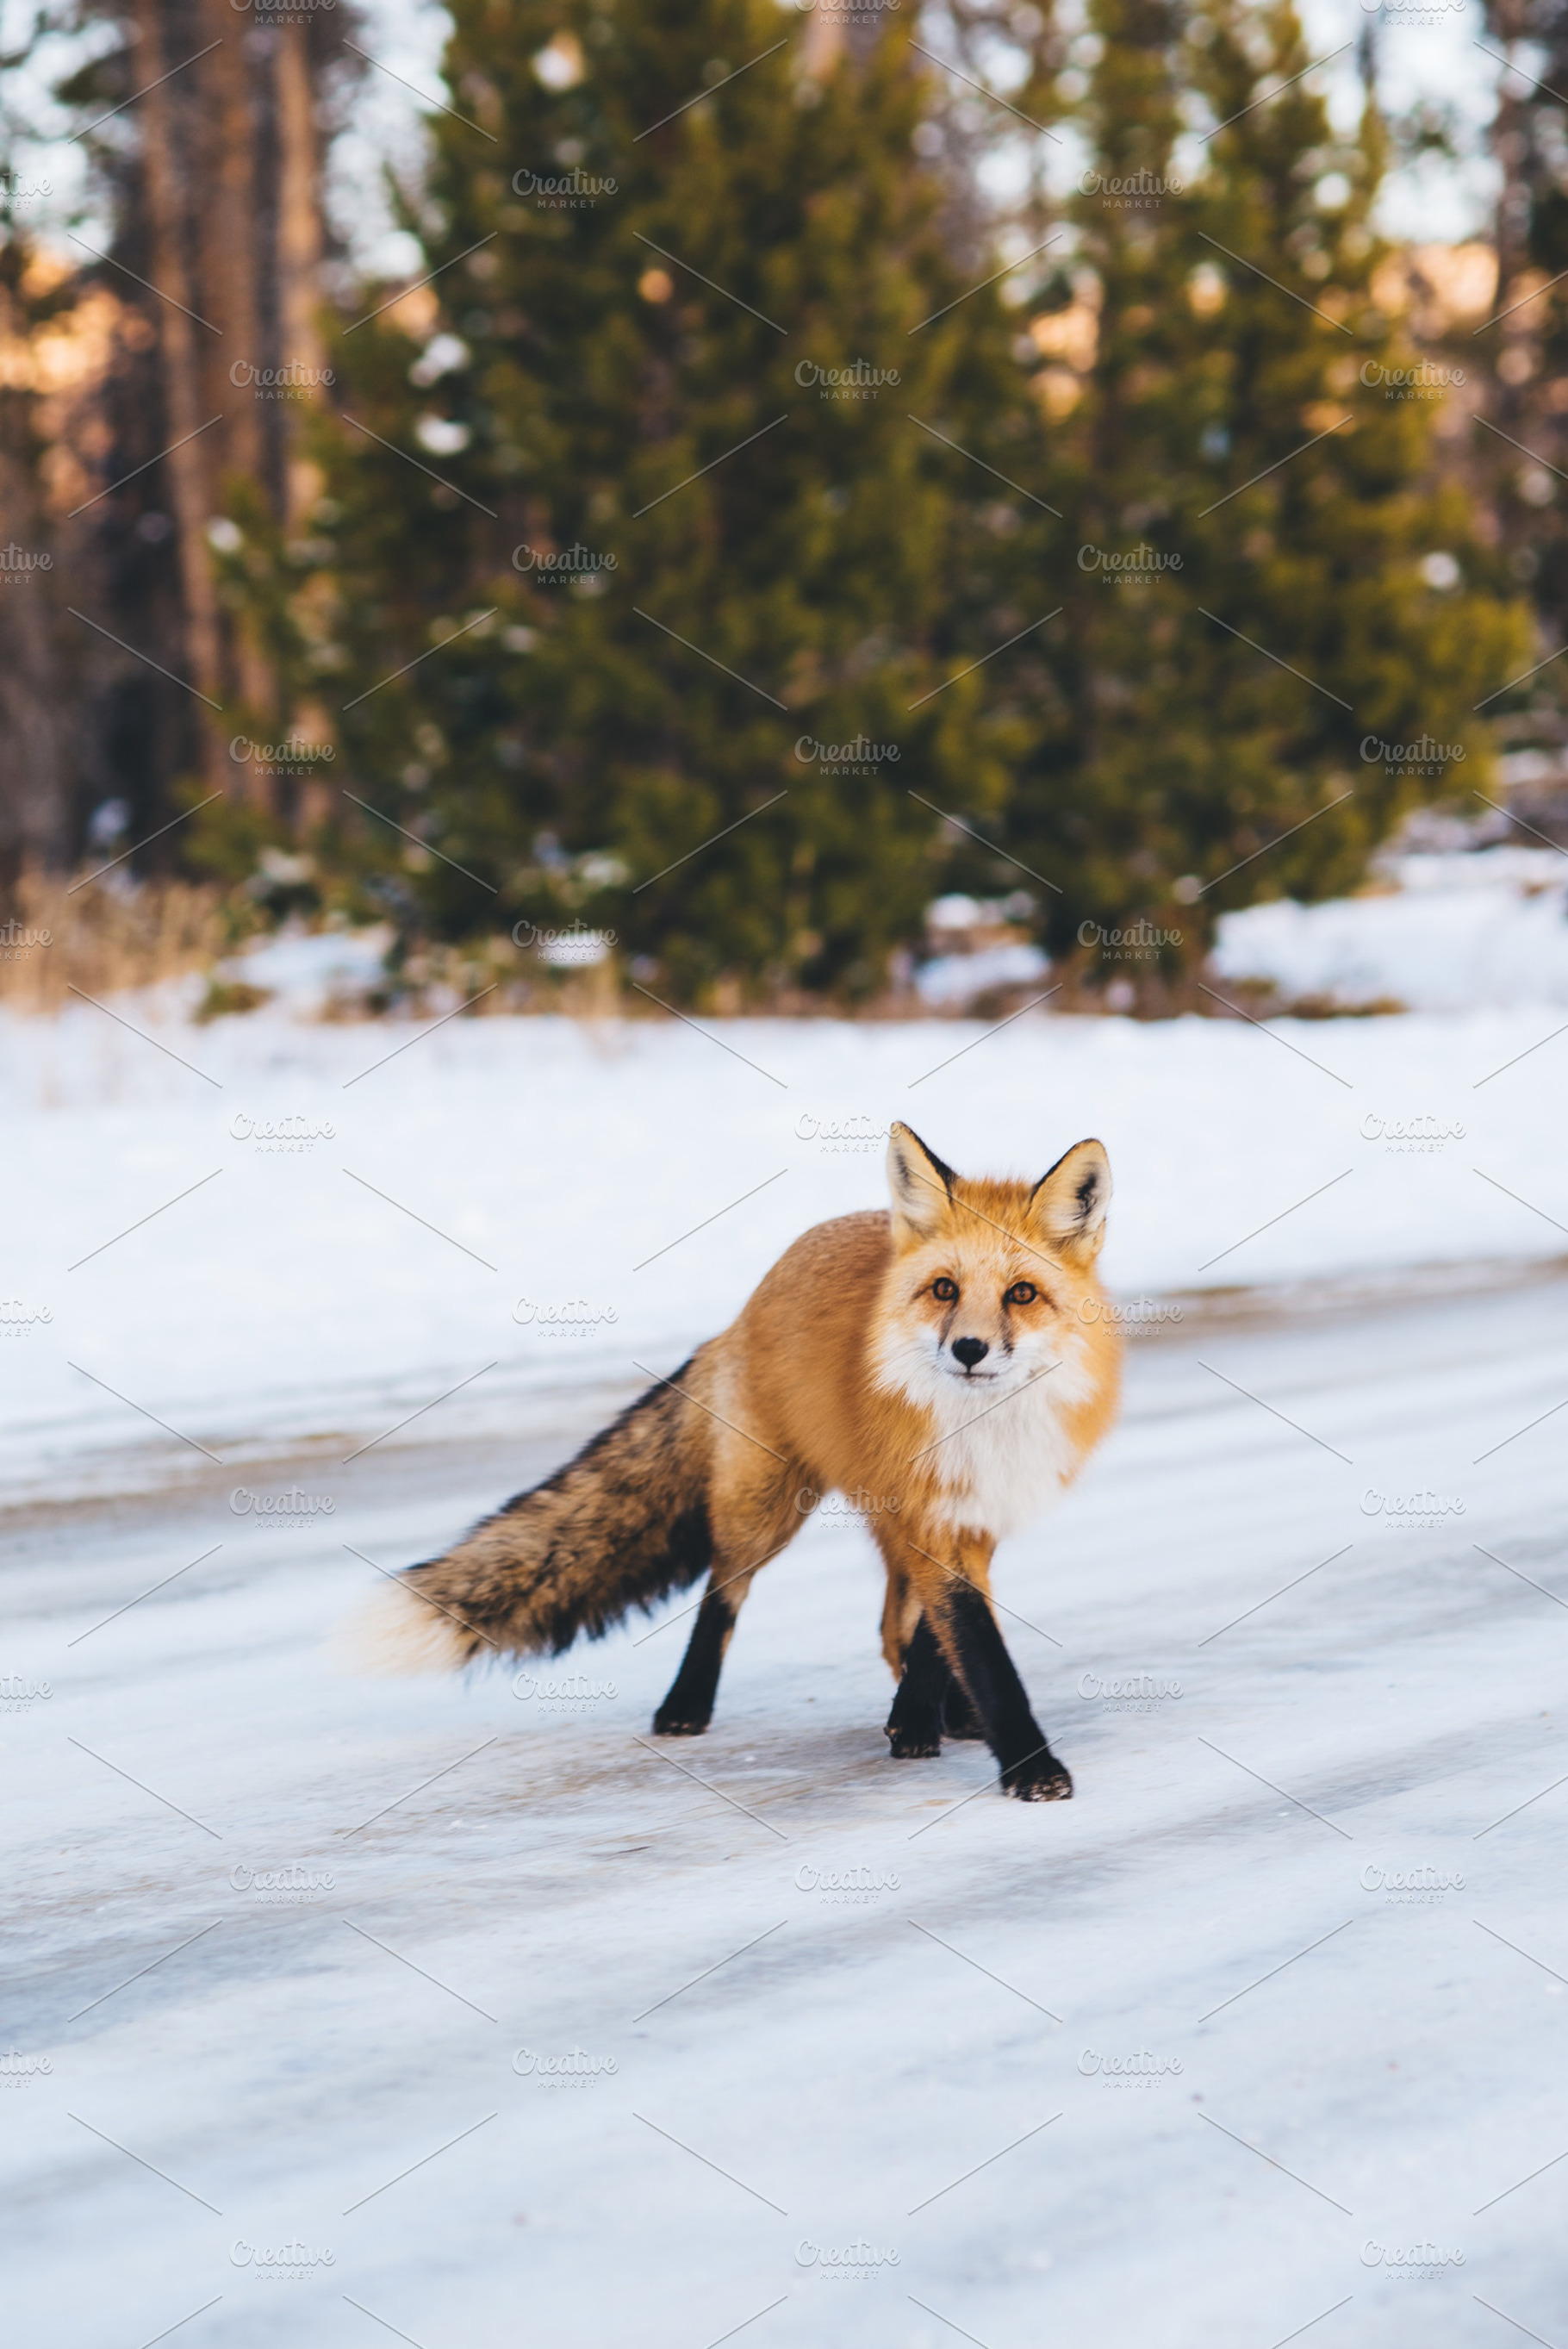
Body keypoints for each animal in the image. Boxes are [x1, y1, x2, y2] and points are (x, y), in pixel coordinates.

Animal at [365, 1122, 1120, 1800]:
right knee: (724, 1590)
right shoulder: (935, 1520)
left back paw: (942, 1716)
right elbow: (984, 1654)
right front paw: (1028, 1768)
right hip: (766, 1506)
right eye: (944, 1290)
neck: (982, 1431)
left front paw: (931, 1720)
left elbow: (949, 1639)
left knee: (892, 1627)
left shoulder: (975, 1517)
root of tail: (749, 1303)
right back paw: (686, 1707)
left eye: (1021, 1294)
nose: (968, 1350)